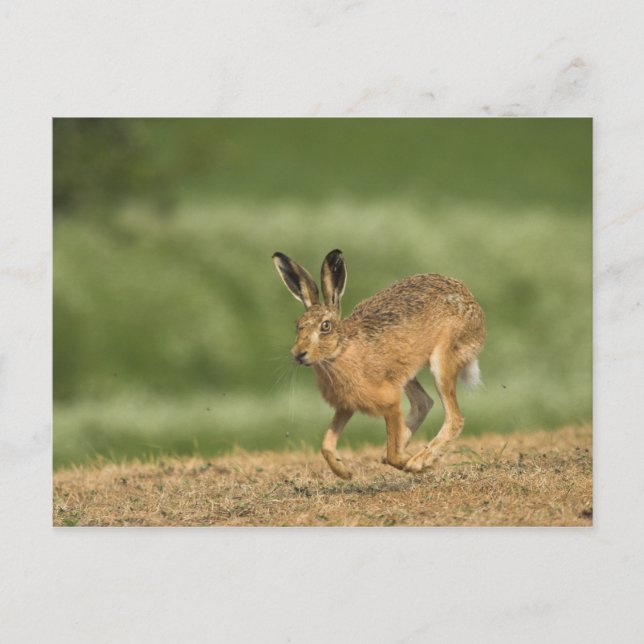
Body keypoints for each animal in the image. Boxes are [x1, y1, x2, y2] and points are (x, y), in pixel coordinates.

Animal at [272, 249, 486, 479]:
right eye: (298, 326)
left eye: (325, 326)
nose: (298, 354)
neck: (342, 349)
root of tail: (472, 302)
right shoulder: (346, 406)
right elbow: (326, 444)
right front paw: (344, 472)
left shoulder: (390, 402)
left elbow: (393, 453)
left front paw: (410, 462)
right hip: (406, 372)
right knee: (424, 403)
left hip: (442, 360)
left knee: (454, 417)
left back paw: (420, 460)